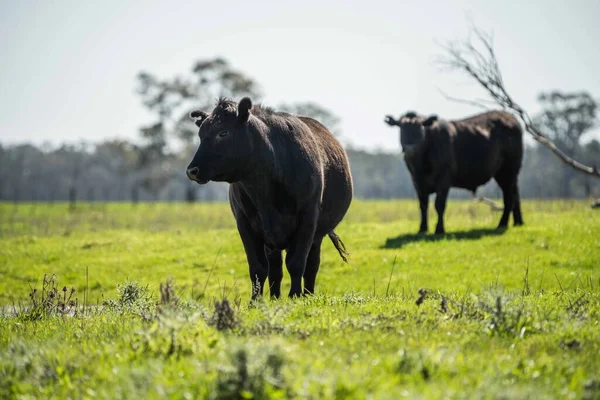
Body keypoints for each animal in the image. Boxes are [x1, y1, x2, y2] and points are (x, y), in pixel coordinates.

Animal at [186, 97, 352, 300]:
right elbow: (258, 268)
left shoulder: (307, 219)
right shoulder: (245, 223)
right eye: (201, 135)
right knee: (275, 268)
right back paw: (274, 297)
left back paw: (307, 295)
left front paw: (295, 296)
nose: (192, 170)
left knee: (311, 265)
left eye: (223, 132)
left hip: (317, 234)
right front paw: (255, 301)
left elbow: (297, 263)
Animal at [386, 109, 524, 234]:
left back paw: (502, 224)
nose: (410, 148)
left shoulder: (444, 178)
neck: (421, 165)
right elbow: (423, 205)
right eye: (401, 127)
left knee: (509, 197)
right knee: (515, 194)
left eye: (420, 128)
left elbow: (439, 205)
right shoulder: (417, 182)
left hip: (507, 171)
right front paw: (422, 229)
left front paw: (439, 229)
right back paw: (518, 222)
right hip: (509, 174)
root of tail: (510, 117)